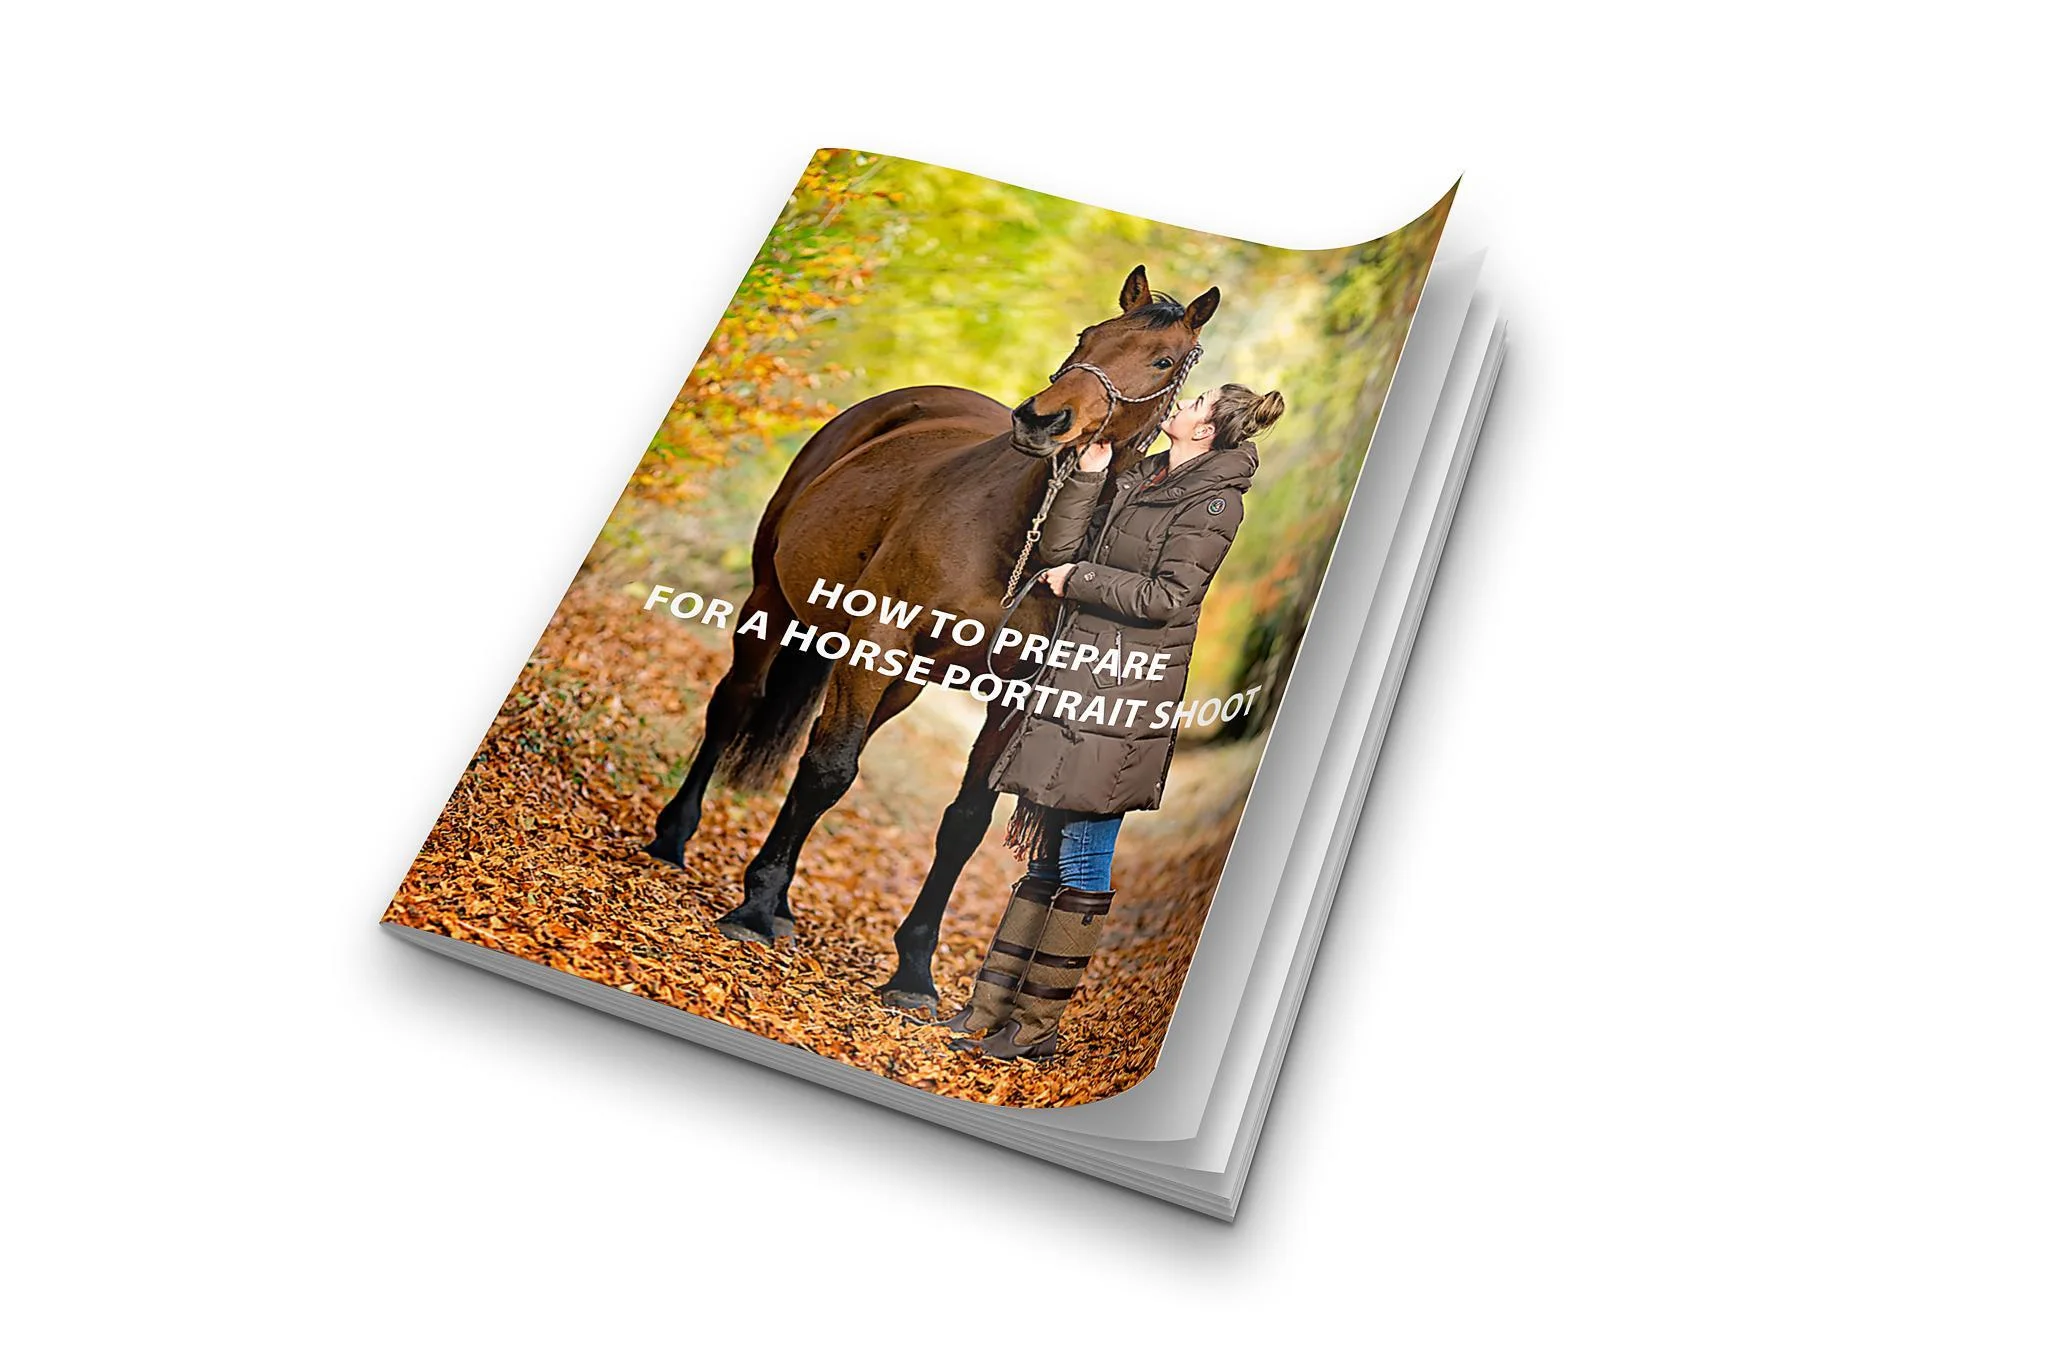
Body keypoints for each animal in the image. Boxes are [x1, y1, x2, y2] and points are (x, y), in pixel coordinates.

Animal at [643, 265, 1219, 1015]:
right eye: (1088, 335)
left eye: (1162, 362)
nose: (1043, 420)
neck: (1019, 542)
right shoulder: (877, 636)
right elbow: (830, 769)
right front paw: (754, 908)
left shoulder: (1011, 695)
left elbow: (963, 820)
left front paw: (913, 971)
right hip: (773, 601)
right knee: (738, 707)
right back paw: (675, 838)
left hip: (900, 680)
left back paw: (787, 899)